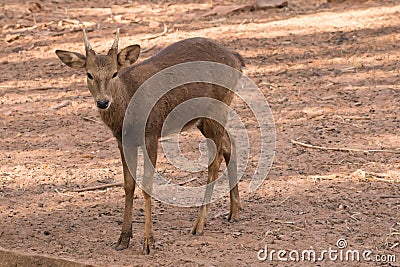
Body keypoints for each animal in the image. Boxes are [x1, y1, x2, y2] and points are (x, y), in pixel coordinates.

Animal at [55, 29, 244, 255]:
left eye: (114, 73)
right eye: (89, 74)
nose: (103, 102)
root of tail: (237, 60)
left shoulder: (152, 134)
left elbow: (146, 185)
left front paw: (149, 242)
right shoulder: (123, 141)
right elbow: (128, 185)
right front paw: (123, 238)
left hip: (217, 106)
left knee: (214, 161)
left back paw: (199, 224)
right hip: (204, 118)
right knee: (229, 144)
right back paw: (234, 212)